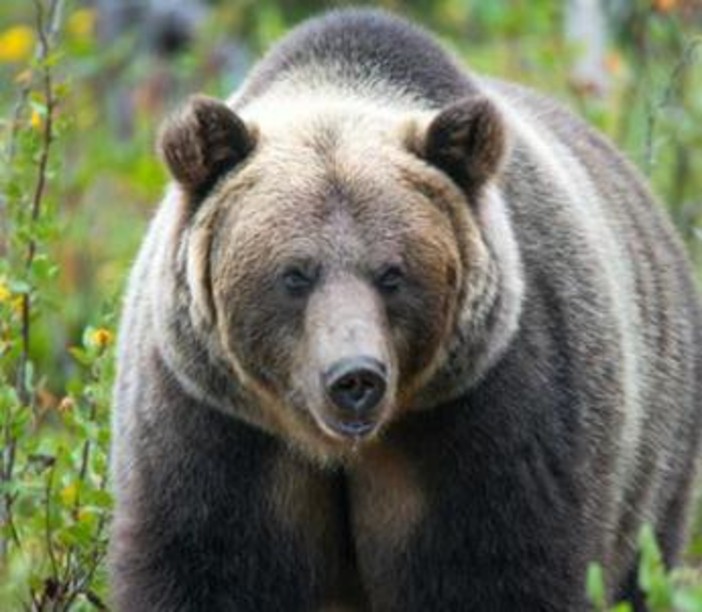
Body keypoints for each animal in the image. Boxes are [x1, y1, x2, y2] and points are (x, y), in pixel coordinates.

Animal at [109, 8, 702, 611]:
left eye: (392, 274)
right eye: (295, 274)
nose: (354, 378)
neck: (339, 449)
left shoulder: (489, 417)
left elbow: (497, 571)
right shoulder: (213, 426)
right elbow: (207, 568)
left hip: (659, 460)